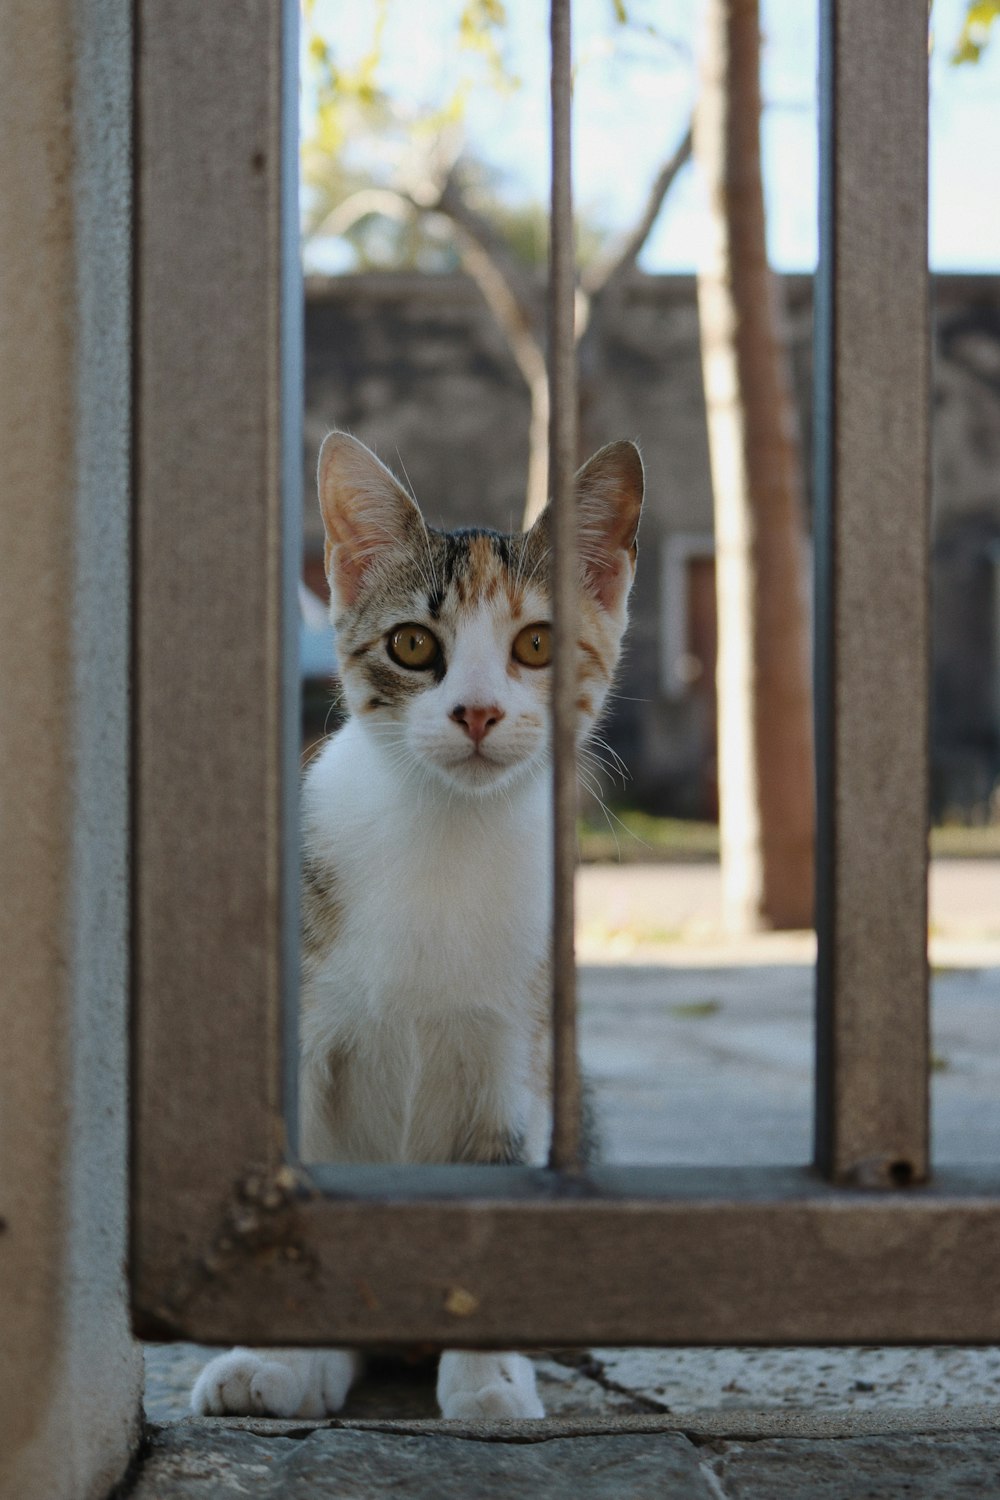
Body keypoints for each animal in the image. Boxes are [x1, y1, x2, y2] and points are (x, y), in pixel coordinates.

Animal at [191, 432, 644, 1416]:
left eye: (537, 644)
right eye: (412, 644)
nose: (476, 711)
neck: (446, 829)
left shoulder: (517, 1047)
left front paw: (488, 1379)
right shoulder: (304, 1034)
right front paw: (276, 1353)